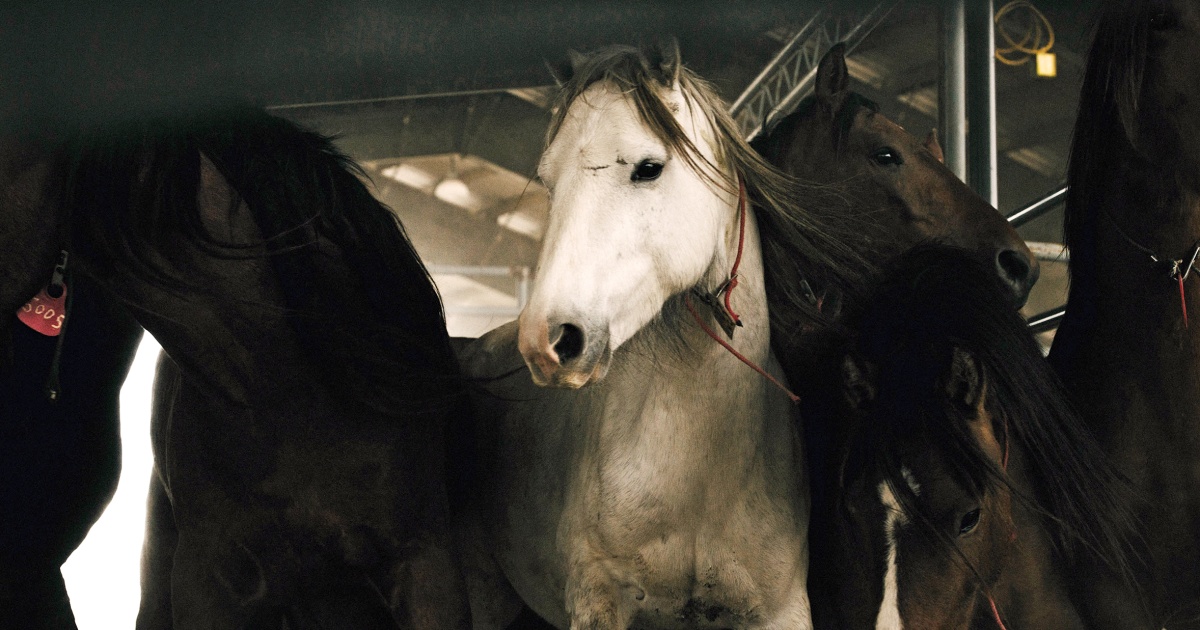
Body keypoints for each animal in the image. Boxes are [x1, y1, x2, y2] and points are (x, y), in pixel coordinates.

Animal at [454, 43, 883, 630]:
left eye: (649, 168)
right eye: (549, 182)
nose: (548, 340)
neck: (698, 473)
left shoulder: (781, 612)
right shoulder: (598, 605)